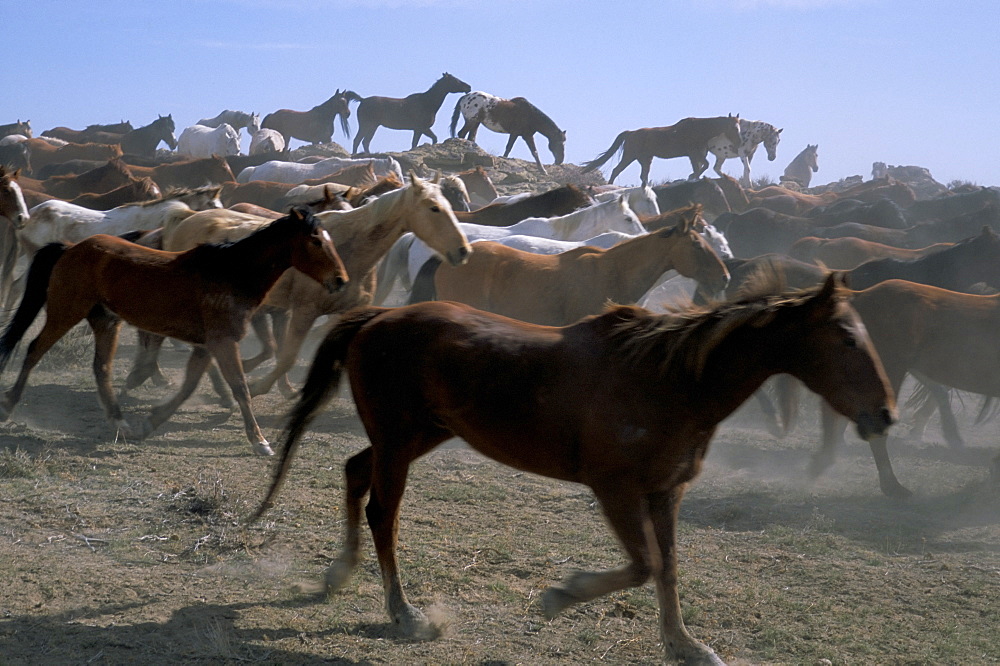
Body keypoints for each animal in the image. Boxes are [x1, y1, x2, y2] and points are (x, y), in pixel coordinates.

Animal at [0, 209, 350, 456]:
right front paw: (260, 442)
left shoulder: (207, 346)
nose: (341, 280)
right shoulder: (223, 342)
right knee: (34, 350)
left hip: (106, 322)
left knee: (102, 368)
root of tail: (71, 248)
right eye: (316, 240)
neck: (232, 272)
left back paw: (120, 421)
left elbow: (190, 386)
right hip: (66, 312)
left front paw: (150, 423)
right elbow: (239, 388)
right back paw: (9, 406)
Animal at [254, 272, 896, 660]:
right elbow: (643, 566)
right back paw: (404, 612)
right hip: (399, 441)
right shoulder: (615, 488)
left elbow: (668, 568)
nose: (885, 414)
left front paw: (684, 645)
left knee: (354, 474)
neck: (669, 378)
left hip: (415, 436)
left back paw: (339, 573)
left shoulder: (666, 492)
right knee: (382, 512)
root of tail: (376, 316)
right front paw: (560, 596)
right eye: (845, 337)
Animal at [580, 115, 744, 185]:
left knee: (643, 176)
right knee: (616, 170)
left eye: (739, 126)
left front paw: (692, 177)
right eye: (732, 127)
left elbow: (701, 167)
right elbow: (703, 166)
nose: (739, 142)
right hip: (629, 156)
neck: (699, 130)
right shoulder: (694, 154)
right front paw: (692, 177)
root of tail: (630, 133)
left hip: (645, 159)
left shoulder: (697, 155)